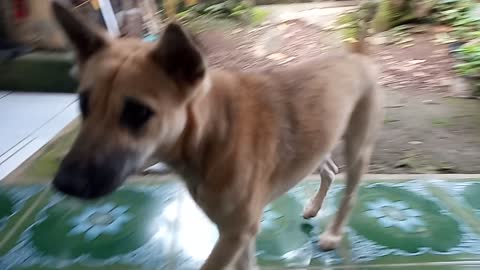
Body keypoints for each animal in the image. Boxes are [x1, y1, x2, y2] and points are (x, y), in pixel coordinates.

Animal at [51, 1, 382, 268]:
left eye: (138, 113)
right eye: (83, 103)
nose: (64, 184)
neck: (211, 134)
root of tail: (357, 54)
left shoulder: (235, 235)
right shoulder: (239, 237)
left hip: (358, 146)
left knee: (350, 193)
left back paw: (333, 234)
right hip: (320, 141)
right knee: (329, 168)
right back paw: (314, 206)